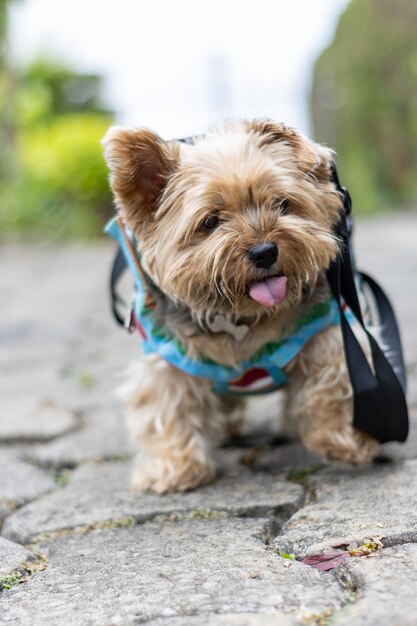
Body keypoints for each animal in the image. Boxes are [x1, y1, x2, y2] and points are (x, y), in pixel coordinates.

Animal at [102, 119, 378, 492]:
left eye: (282, 203)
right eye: (210, 221)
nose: (264, 251)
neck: (242, 316)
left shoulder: (329, 329)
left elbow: (335, 380)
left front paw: (345, 439)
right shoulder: (168, 356)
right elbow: (166, 406)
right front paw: (174, 468)